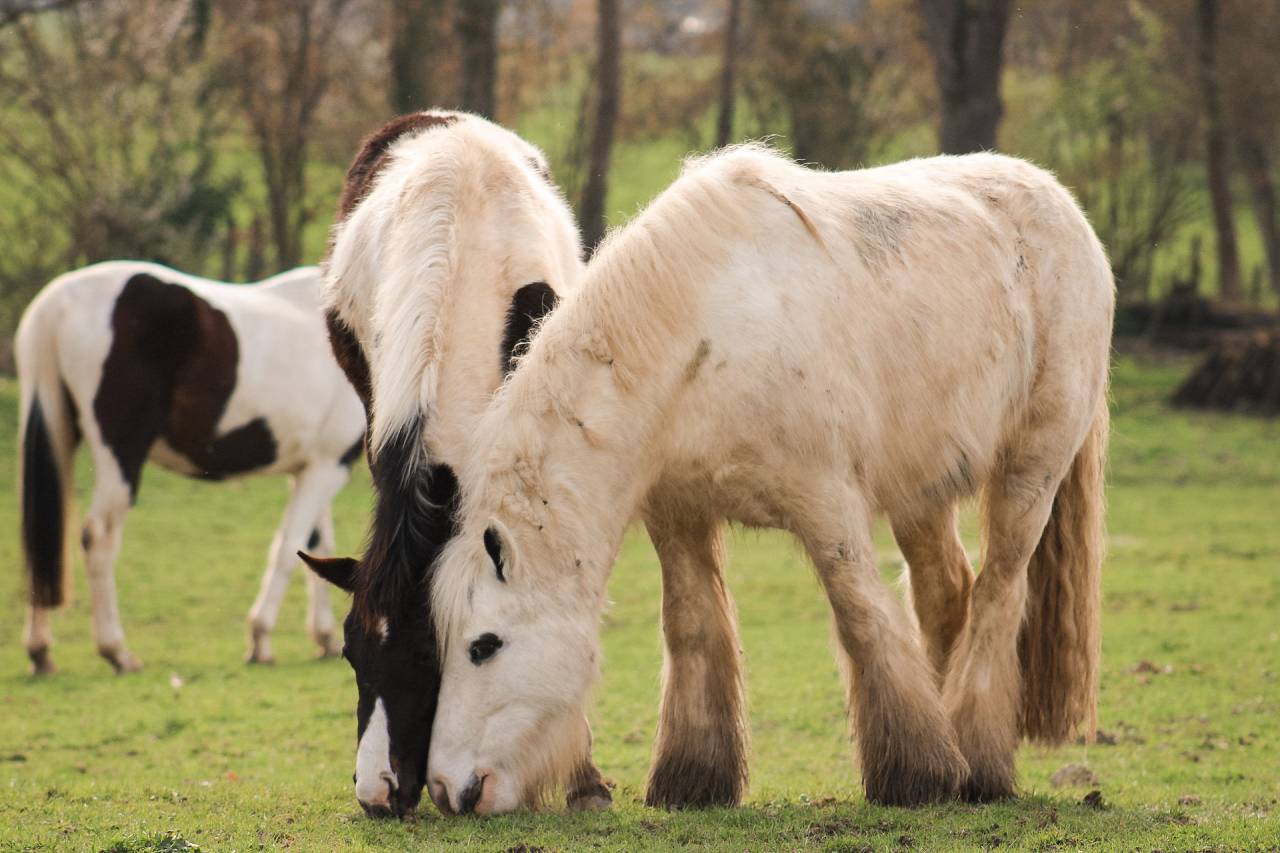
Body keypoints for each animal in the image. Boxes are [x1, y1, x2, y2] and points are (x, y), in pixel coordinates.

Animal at [15, 261, 366, 675]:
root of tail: (56, 303)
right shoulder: (327, 467)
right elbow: (287, 549)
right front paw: (261, 639)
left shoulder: (310, 468)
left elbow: (316, 547)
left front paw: (323, 637)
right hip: (121, 457)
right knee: (99, 537)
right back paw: (116, 650)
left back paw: (40, 651)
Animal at [425, 144, 1113, 814]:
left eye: (485, 644)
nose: (451, 789)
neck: (703, 335)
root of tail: (1063, 206)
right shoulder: (679, 513)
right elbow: (692, 627)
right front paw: (693, 777)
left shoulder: (828, 504)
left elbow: (861, 614)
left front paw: (914, 773)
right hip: (921, 491)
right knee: (948, 593)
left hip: (1030, 473)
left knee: (999, 594)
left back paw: (979, 764)